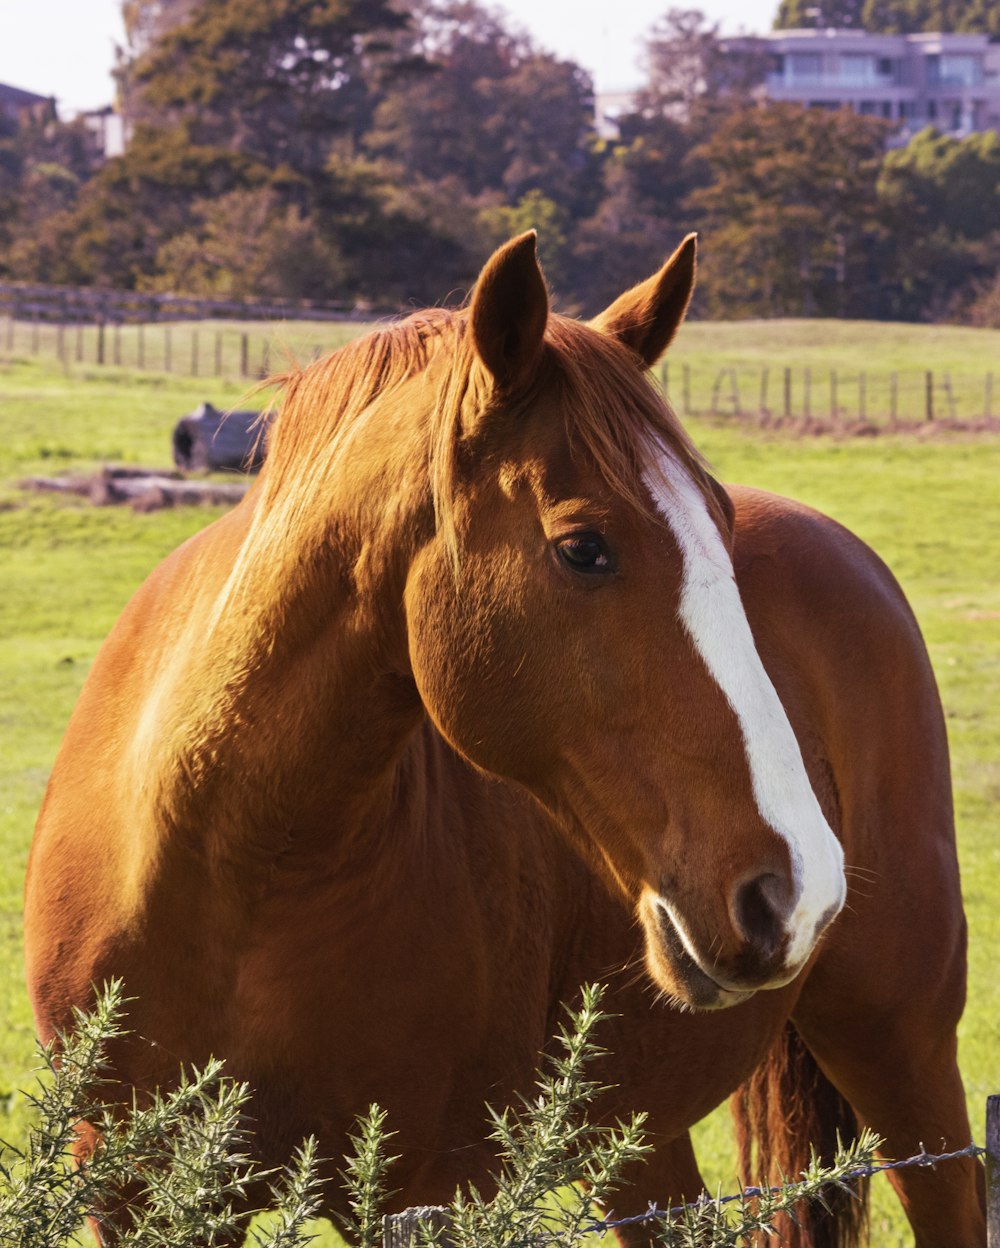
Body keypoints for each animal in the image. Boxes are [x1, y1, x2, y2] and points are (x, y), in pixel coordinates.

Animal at [25, 235, 983, 1248]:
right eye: (583, 548)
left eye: (719, 528)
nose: (798, 891)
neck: (225, 862)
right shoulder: (139, 1191)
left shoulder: (427, 1195)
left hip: (905, 1049)